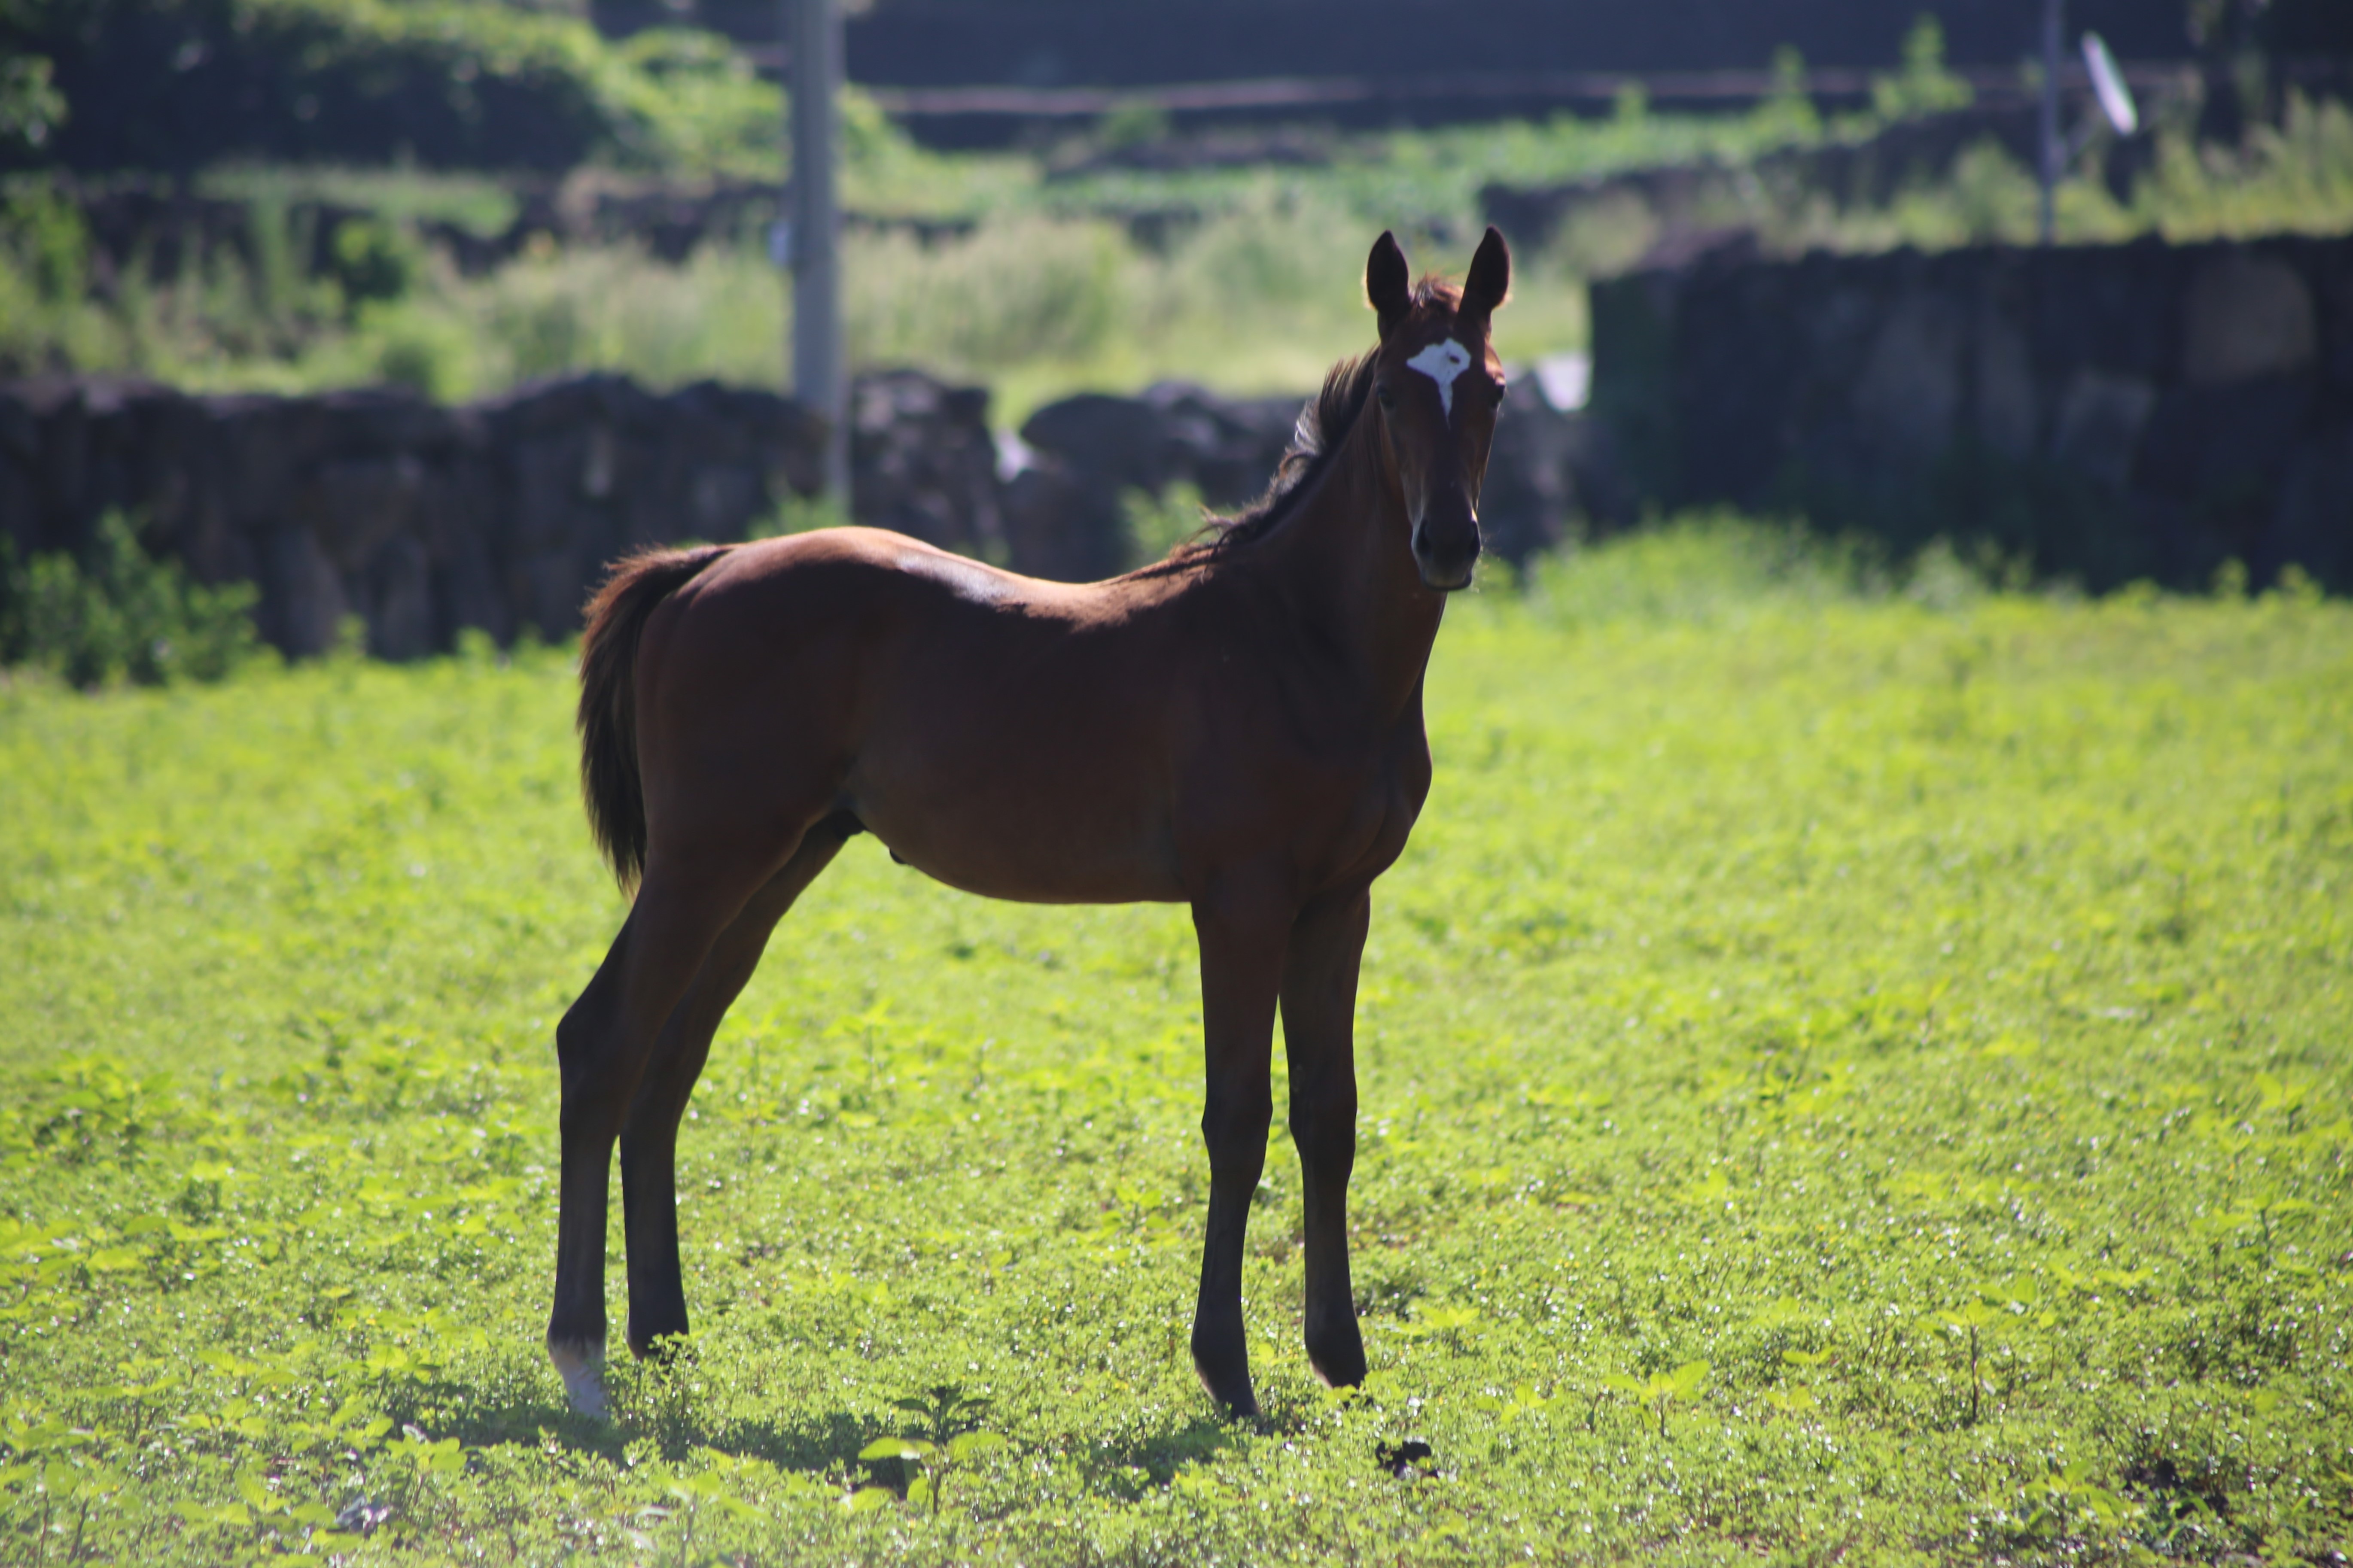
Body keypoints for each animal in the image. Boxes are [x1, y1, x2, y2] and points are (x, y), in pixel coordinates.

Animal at [546, 223, 1506, 1420]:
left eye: (1494, 390)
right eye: (1387, 392)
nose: (1447, 544)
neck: (1298, 640)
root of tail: (700, 570)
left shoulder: (1339, 901)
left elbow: (1328, 1113)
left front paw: (1339, 1351)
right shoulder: (1239, 901)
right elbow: (1235, 1117)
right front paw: (1227, 1370)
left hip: (773, 867)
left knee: (666, 1065)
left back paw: (665, 1336)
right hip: (703, 863)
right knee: (601, 1043)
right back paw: (583, 1357)